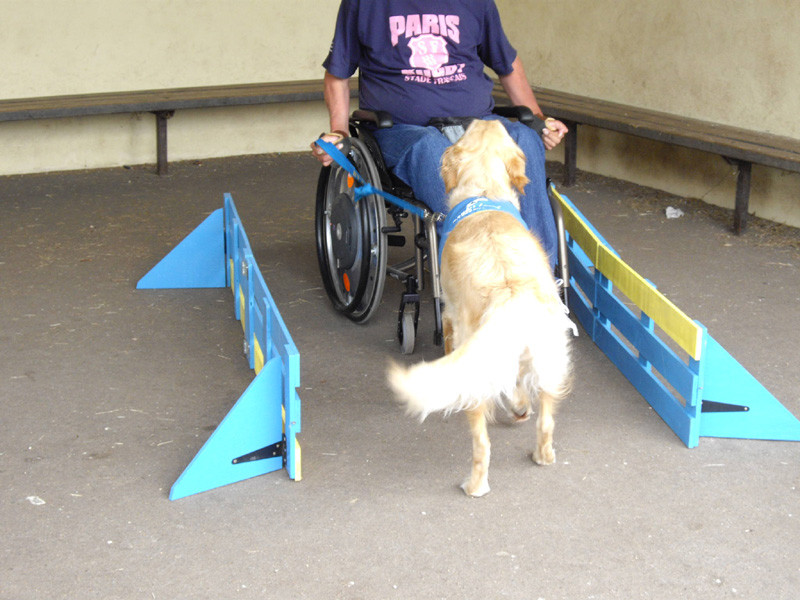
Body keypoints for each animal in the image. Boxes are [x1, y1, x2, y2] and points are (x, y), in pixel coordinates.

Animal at [386, 118, 568, 496]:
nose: (487, 116)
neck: (483, 192)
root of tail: (513, 298)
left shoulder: (451, 313)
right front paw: (520, 408)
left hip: (476, 367)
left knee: (482, 443)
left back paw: (475, 486)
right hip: (545, 358)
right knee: (545, 420)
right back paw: (539, 449)